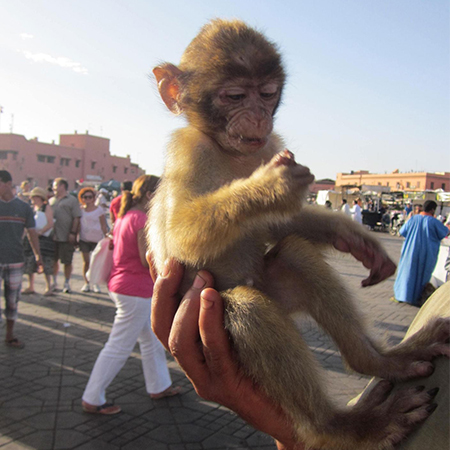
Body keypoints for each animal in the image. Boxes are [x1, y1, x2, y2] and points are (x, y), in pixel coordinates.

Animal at [149, 18, 450, 450]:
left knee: (293, 254)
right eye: (235, 95)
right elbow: (180, 239)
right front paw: (270, 186)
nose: (258, 115)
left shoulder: (268, 144)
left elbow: (279, 226)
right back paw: (344, 427)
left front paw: (352, 236)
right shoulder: (190, 150)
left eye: (267, 93)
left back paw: (380, 361)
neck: (234, 155)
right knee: (247, 307)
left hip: (277, 289)